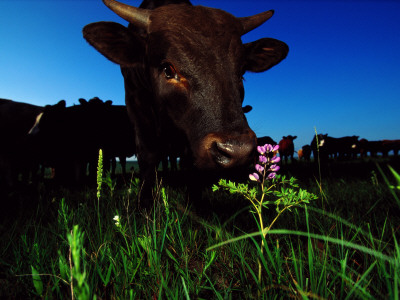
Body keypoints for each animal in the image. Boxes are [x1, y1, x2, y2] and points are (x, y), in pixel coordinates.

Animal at [83, 0, 290, 207]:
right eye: (168, 69)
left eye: (242, 73)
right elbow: (148, 155)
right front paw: (145, 204)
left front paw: (194, 204)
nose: (237, 150)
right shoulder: (136, 105)